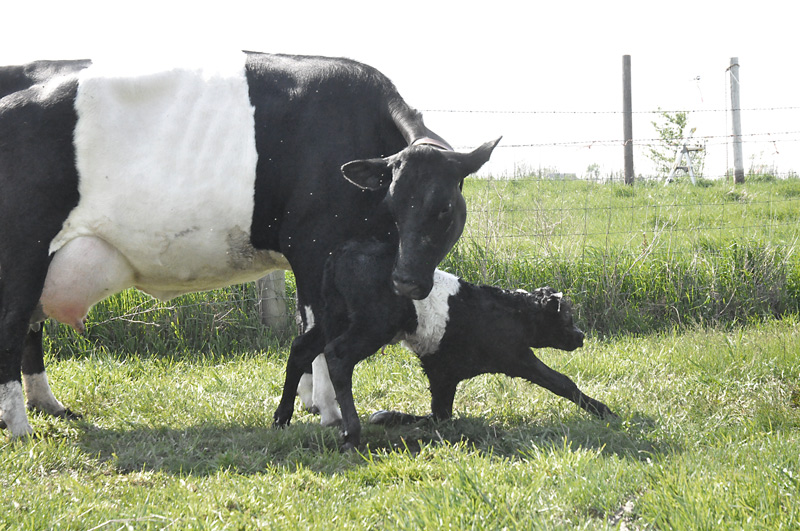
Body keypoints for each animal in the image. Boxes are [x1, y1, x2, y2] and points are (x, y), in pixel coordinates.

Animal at [0, 51, 498, 437]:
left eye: (444, 209)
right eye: (394, 202)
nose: (407, 282)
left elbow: (305, 325)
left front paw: (308, 401)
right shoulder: (314, 246)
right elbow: (318, 328)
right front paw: (329, 410)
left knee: (30, 328)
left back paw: (50, 406)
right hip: (23, 247)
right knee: (11, 324)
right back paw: (20, 426)